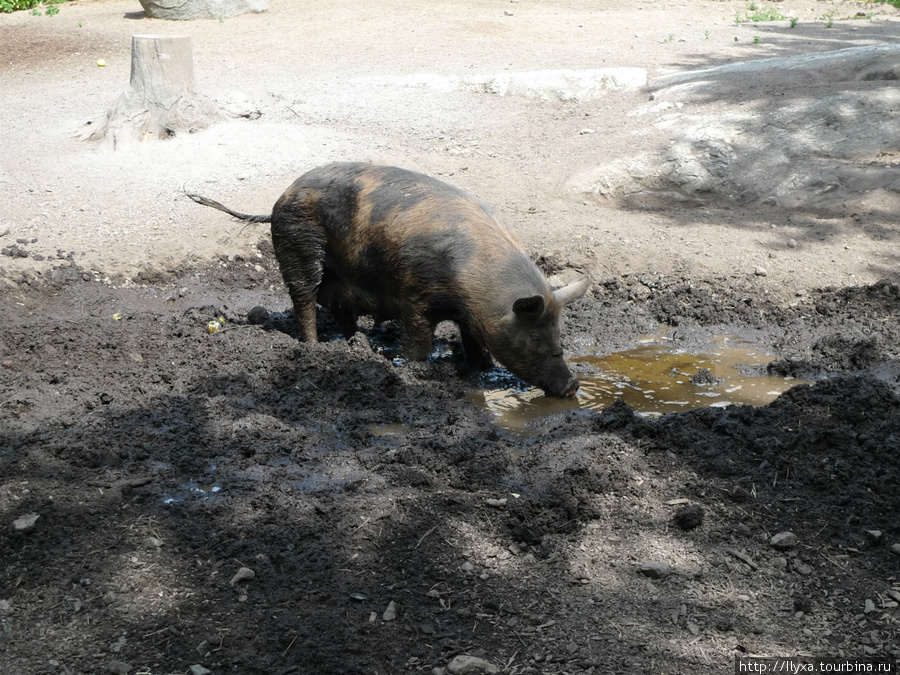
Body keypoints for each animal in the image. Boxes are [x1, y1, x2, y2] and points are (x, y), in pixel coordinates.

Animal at [186, 162, 588, 398]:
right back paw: (316, 349)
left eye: (559, 333)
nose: (573, 385)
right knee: (304, 299)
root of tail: (278, 200)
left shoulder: (471, 317)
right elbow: (418, 340)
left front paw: (481, 369)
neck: (473, 284)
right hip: (299, 247)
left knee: (339, 307)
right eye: (535, 337)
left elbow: (474, 342)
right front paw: (417, 371)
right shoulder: (416, 296)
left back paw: (356, 345)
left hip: (336, 272)